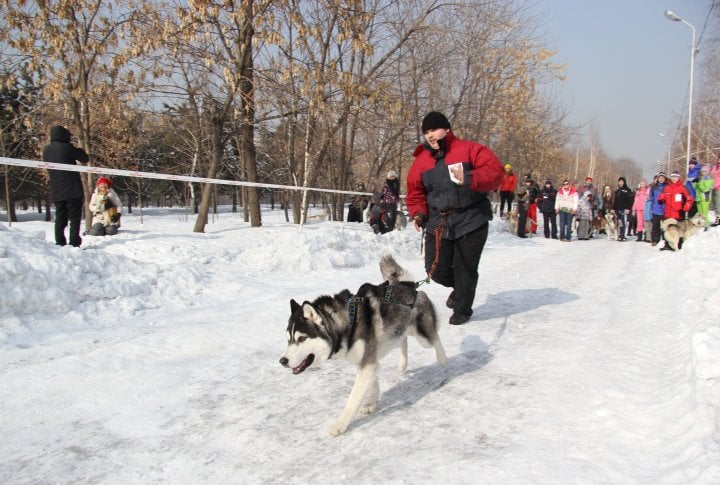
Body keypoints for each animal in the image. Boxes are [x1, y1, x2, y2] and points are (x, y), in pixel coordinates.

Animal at [278, 253, 448, 434]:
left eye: (302, 338)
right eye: (288, 339)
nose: (282, 361)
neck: (348, 324)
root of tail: (408, 284)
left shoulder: (367, 362)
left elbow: (353, 399)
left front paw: (340, 424)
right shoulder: (365, 361)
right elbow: (372, 384)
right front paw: (372, 403)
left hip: (423, 336)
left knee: (434, 337)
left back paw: (443, 359)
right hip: (397, 332)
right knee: (403, 339)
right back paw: (403, 363)